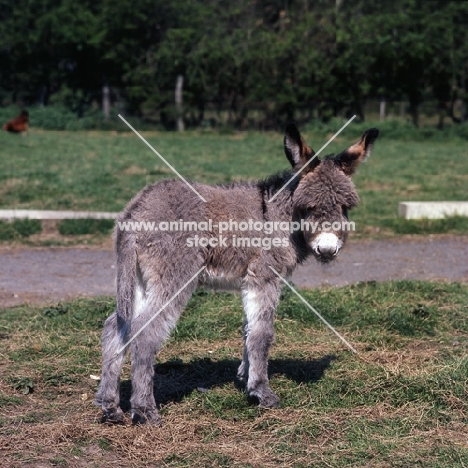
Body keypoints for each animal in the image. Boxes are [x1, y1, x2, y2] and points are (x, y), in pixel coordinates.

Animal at [96, 123, 380, 424]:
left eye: (345, 207)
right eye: (308, 208)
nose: (326, 250)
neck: (278, 215)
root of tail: (134, 212)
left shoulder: (249, 282)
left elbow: (248, 329)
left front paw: (246, 377)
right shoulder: (265, 278)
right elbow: (262, 333)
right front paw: (261, 392)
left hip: (138, 279)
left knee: (116, 327)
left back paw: (110, 406)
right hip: (174, 276)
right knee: (144, 332)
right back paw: (144, 410)